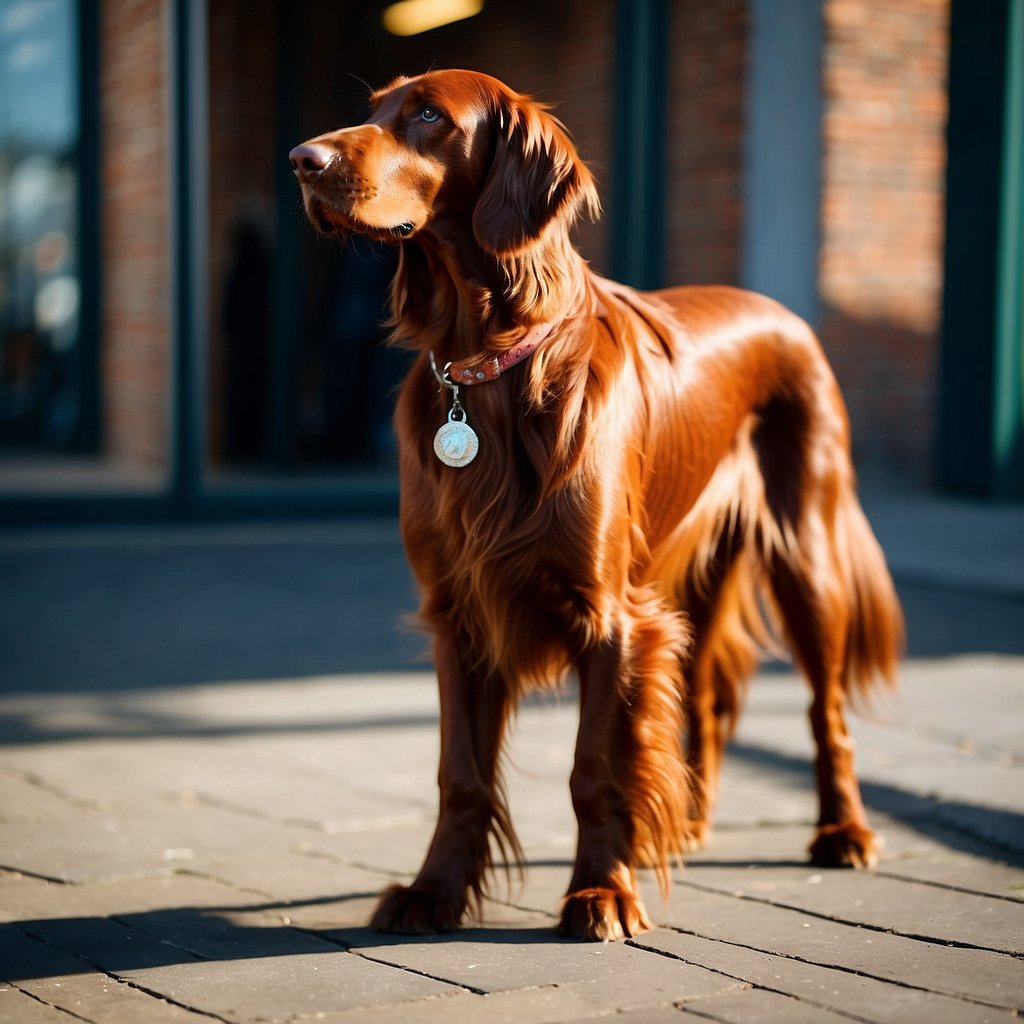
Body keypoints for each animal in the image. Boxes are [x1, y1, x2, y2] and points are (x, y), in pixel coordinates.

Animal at [290, 68, 905, 937]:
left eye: (430, 116)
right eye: (374, 108)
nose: (301, 161)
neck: (489, 368)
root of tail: (785, 314)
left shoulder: (612, 616)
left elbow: (595, 767)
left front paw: (601, 894)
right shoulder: (459, 615)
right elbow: (460, 774)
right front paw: (434, 891)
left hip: (806, 558)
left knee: (828, 712)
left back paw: (844, 830)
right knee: (705, 701)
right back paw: (686, 825)